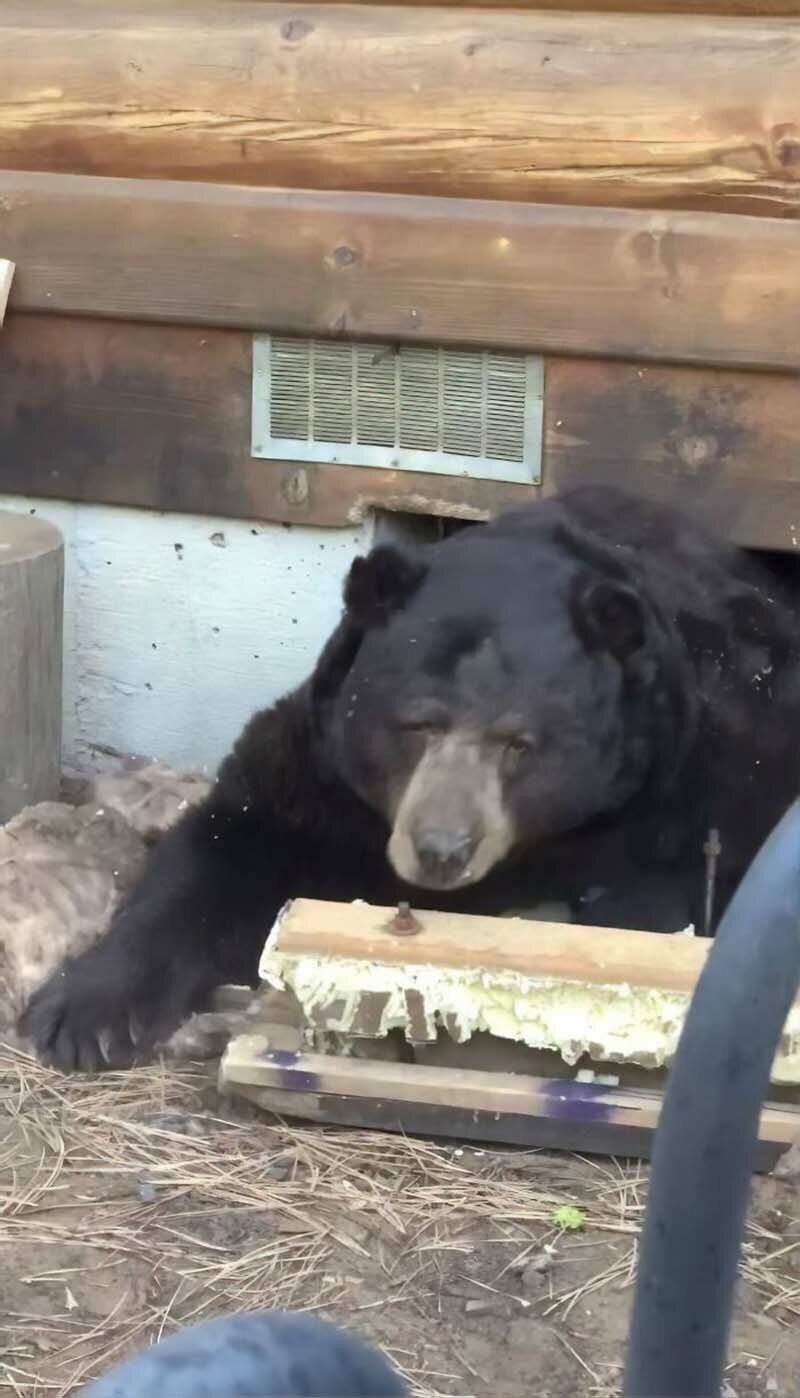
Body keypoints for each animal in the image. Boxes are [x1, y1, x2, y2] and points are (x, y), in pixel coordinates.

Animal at [20, 486, 800, 1073]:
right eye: (418, 722)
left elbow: (663, 898)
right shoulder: (320, 775)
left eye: (519, 743)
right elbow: (219, 847)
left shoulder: (683, 785)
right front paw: (79, 1013)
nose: (441, 849)